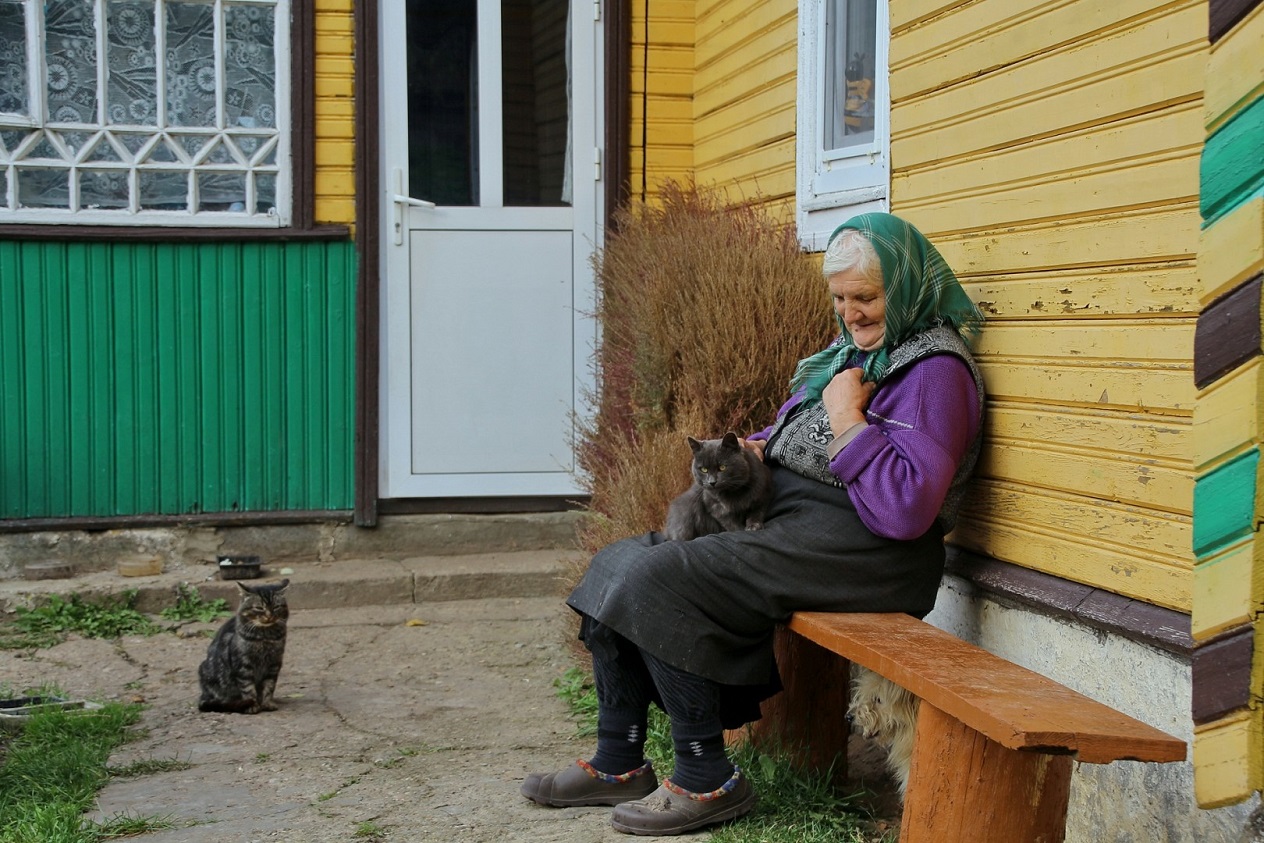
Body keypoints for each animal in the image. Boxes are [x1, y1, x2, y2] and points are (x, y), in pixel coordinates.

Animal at [198, 579, 290, 714]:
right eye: (259, 608)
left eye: (276, 607)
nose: (269, 616)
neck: (265, 637)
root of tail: (203, 696)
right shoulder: (243, 665)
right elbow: (248, 689)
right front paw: (252, 705)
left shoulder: (274, 663)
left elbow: (269, 686)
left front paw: (267, 703)